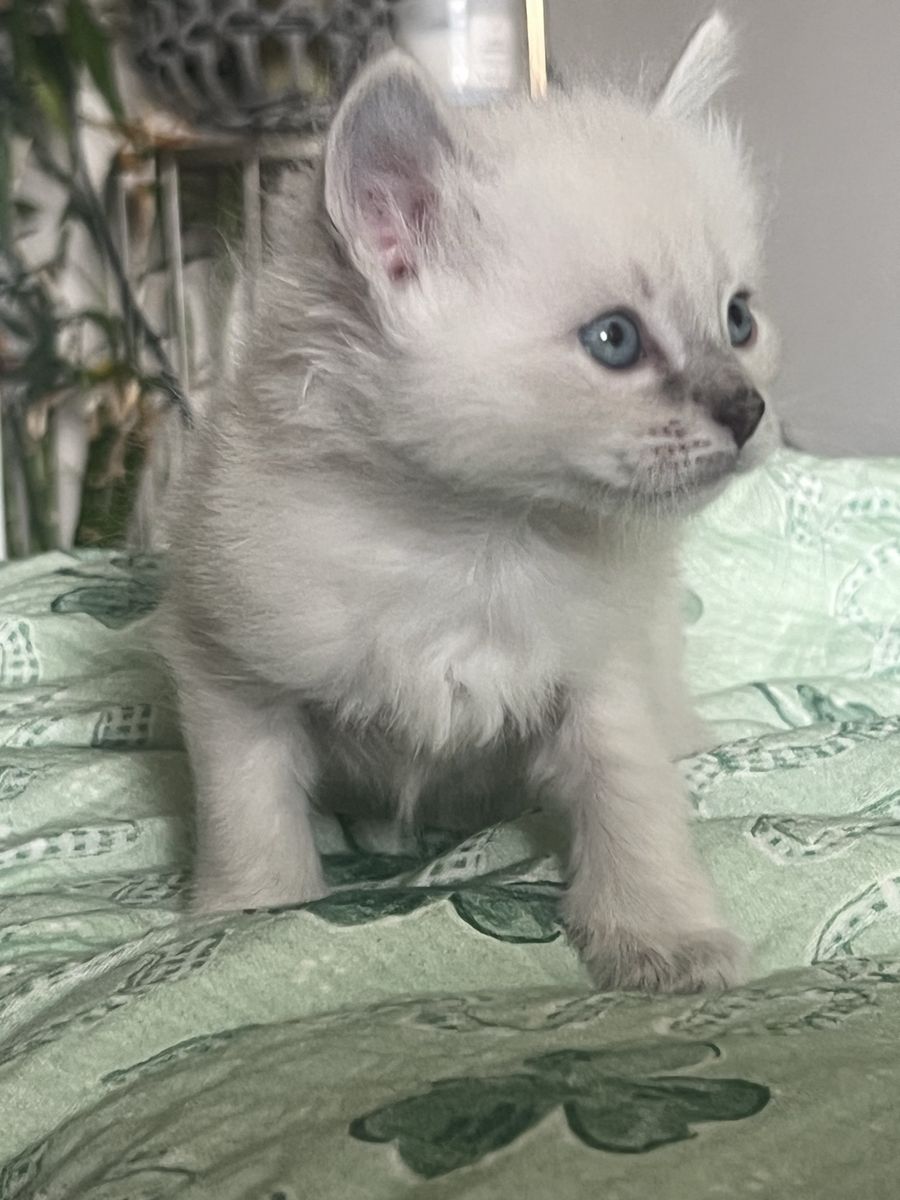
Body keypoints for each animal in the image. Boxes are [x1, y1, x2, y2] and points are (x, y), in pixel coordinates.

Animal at [159, 12, 780, 991]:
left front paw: (664, 938)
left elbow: (633, 798)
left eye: (739, 320)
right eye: (615, 341)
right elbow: (247, 809)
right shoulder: (227, 668)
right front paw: (242, 916)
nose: (749, 411)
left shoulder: (602, 670)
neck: (473, 538)